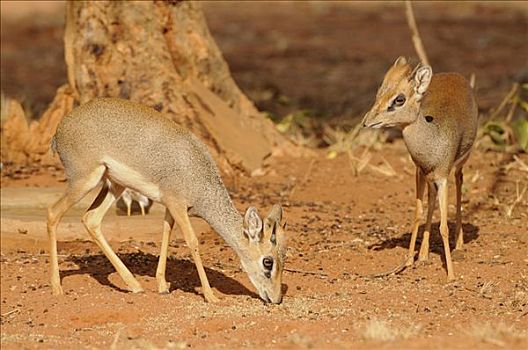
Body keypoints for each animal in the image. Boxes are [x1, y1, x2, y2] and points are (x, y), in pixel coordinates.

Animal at [47, 97, 286, 302]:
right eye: (268, 262)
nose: (276, 299)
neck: (198, 176)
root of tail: (60, 129)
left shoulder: (171, 206)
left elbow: (166, 233)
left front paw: (162, 285)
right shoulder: (177, 204)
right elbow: (192, 241)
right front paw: (211, 296)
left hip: (114, 185)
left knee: (91, 219)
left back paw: (134, 285)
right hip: (85, 180)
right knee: (53, 213)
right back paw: (57, 287)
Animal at [364, 57, 478, 282]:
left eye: (399, 99)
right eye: (379, 92)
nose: (367, 122)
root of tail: (455, 75)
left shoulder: (443, 177)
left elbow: (443, 227)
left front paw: (451, 276)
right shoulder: (420, 172)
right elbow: (418, 213)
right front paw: (408, 261)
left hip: (459, 166)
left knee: (459, 183)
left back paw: (459, 246)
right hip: (429, 178)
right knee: (432, 199)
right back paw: (423, 255)